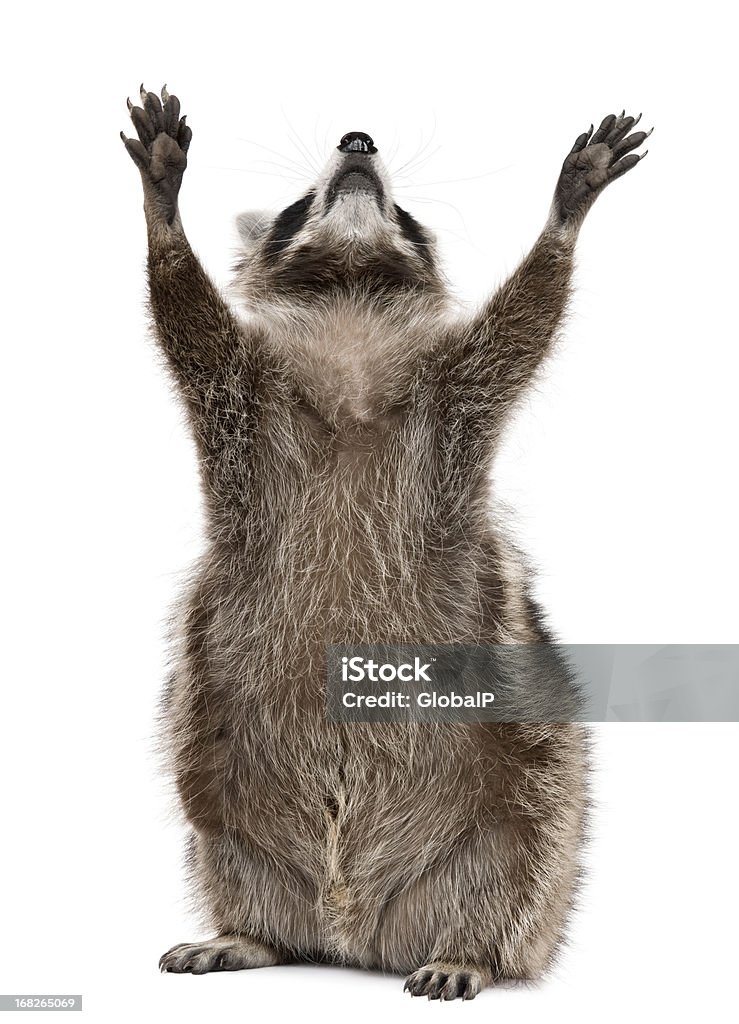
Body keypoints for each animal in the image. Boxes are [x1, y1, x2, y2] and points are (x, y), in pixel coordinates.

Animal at [122, 88, 650, 999]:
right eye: (303, 200)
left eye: (403, 213)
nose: (359, 140)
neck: (349, 303)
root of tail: (356, 934)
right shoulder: (240, 395)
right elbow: (188, 321)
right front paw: (165, 213)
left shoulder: (451, 400)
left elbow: (521, 326)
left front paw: (563, 219)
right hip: (214, 771)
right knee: (221, 841)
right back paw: (250, 931)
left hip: (533, 794)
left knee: (521, 861)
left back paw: (468, 948)